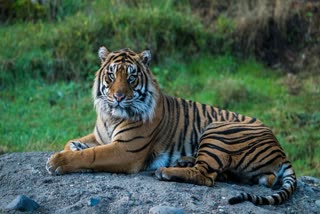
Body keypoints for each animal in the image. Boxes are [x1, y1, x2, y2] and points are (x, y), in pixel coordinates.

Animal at [46, 47, 296, 206]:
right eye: (111, 75)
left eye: (131, 78)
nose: (118, 97)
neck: (111, 116)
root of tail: (281, 149)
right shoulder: (100, 136)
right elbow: (73, 142)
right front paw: (73, 147)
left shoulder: (126, 150)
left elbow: (93, 155)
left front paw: (57, 162)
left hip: (218, 130)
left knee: (206, 175)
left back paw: (166, 171)